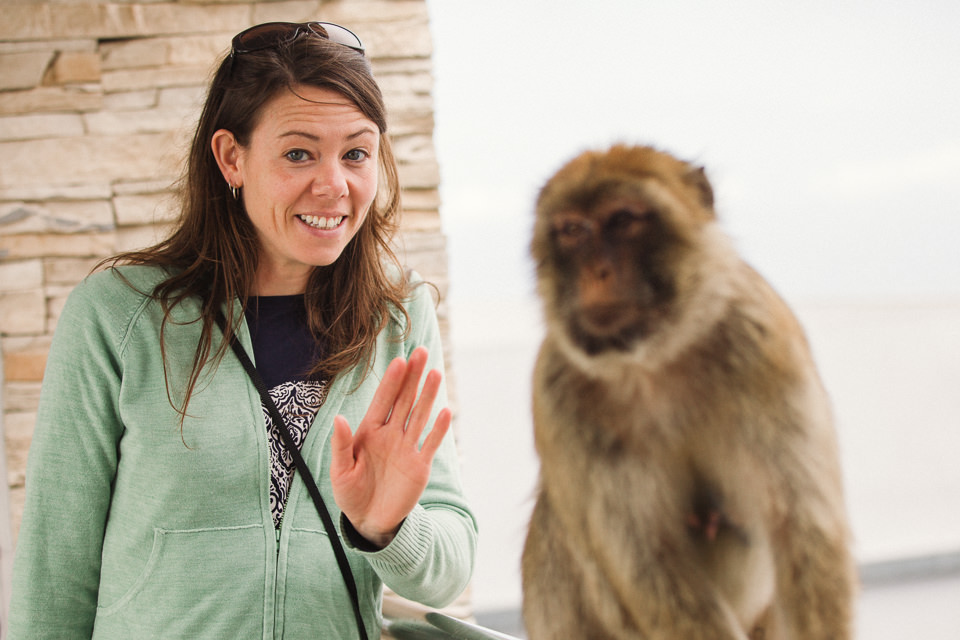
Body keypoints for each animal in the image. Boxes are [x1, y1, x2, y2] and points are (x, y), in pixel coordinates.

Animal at [520, 145, 860, 640]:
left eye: (622, 220)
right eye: (573, 231)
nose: (598, 271)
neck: (652, 362)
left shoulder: (762, 340)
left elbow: (802, 529)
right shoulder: (556, 394)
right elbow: (649, 561)